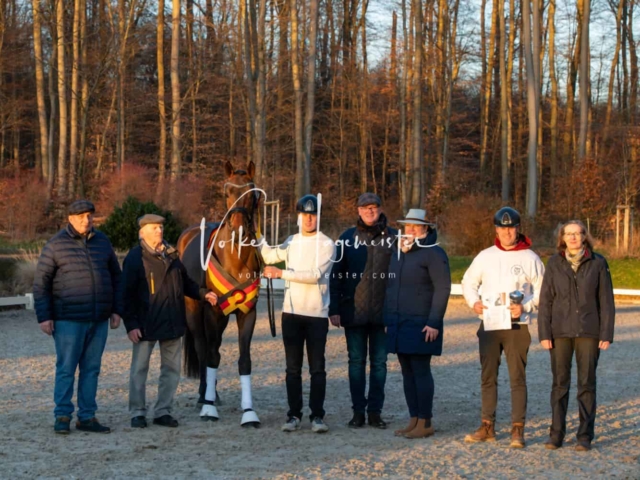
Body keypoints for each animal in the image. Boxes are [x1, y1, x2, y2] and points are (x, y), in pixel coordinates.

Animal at [178, 162, 262, 428]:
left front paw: (249, 412)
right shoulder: (213, 312)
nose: (238, 229)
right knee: (203, 348)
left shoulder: (247, 313)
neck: (235, 256)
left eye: (253, 193)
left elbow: (244, 360)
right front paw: (208, 408)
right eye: (226, 192)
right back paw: (204, 396)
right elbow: (211, 356)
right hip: (195, 312)